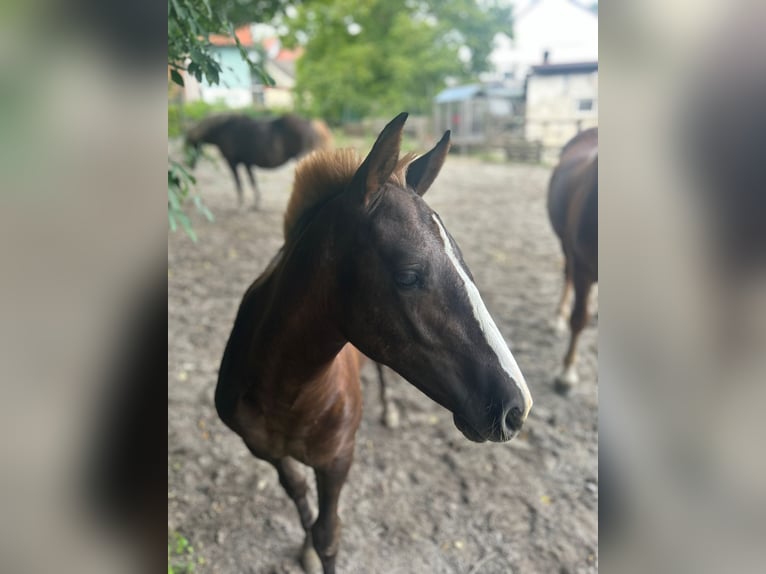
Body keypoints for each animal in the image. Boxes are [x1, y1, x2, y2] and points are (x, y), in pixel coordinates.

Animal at [185, 113, 332, 210]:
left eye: (191, 145)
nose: (189, 165)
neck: (223, 129)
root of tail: (310, 123)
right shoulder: (247, 164)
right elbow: (252, 181)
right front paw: (256, 204)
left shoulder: (232, 163)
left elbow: (238, 182)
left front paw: (240, 204)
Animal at [216, 113, 536, 574]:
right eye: (408, 275)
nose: (517, 408)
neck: (287, 395)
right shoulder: (267, 452)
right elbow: (300, 499)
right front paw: (305, 549)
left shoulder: (337, 461)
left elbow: (329, 536)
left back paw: (389, 411)